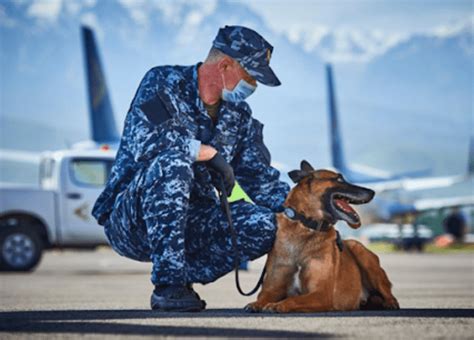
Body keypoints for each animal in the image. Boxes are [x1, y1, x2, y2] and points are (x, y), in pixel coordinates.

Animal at [244, 161, 400, 312]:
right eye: (339, 179)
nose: (372, 192)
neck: (306, 226)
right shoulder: (271, 289)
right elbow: (262, 298)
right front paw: (256, 304)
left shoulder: (320, 294)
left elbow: (293, 299)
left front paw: (278, 305)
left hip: (359, 250)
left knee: (389, 294)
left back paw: (390, 303)